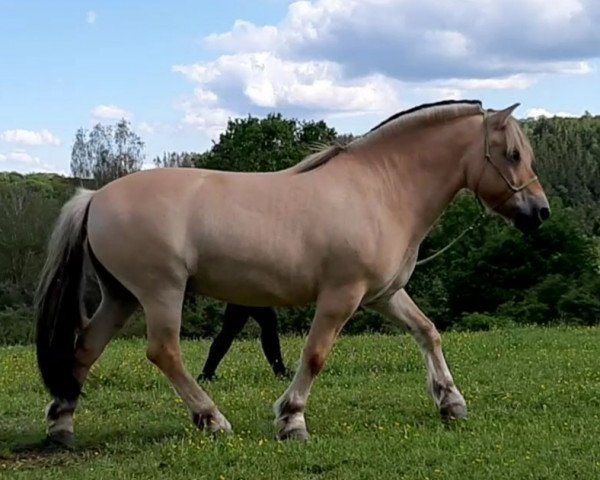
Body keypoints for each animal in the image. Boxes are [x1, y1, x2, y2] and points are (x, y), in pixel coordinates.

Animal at [32, 99, 548, 444]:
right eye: (512, 155)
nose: (539, 212)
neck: (379, 189)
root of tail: (94, 197)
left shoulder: (384, 295)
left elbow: (428, 332)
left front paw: (451, 402)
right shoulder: (342, 296)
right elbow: (316, 355)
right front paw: (292, 419)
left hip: (120, 297)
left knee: (85, 349)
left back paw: (62, 424)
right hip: (160, 293)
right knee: (164, 353)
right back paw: (212, 419)